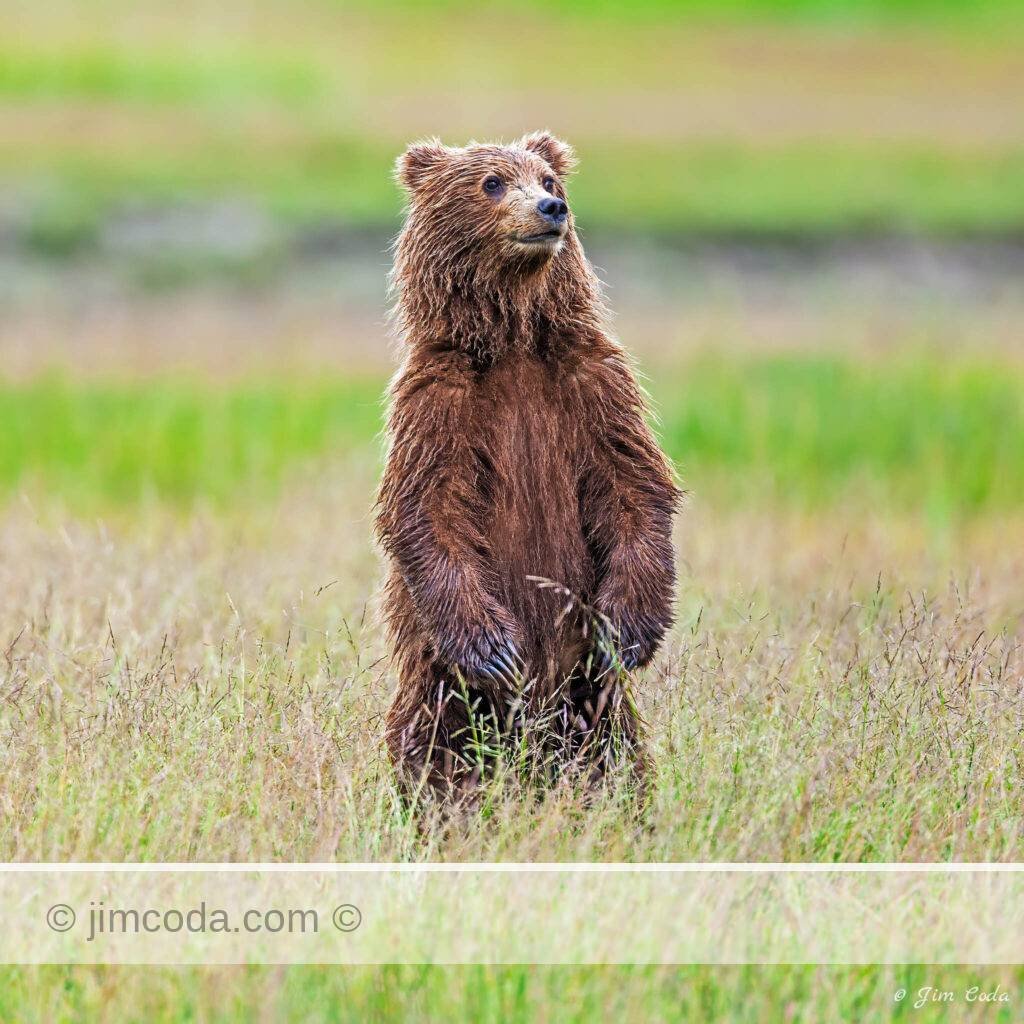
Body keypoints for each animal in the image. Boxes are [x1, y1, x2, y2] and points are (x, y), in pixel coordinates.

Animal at [376, 132, 679, 800]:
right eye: (491, 182)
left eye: (549, 179)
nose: (550, 209)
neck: (513, 340)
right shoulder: (438, 404)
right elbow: (425, 507)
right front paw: (495, 648)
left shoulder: (592, 385)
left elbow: (633, 483)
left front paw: (627, 630)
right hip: (439, 681)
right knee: (435, 740)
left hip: (585, 692)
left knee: (610, 742)